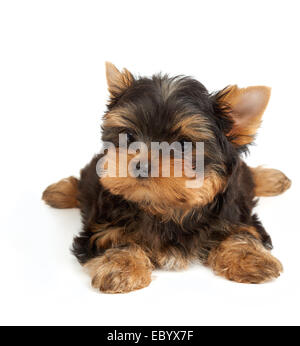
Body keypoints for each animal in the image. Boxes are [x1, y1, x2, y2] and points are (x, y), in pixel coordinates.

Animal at [42, 62, 290, 294]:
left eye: (183, 145)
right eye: (128, 136)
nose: (140, 165)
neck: (165, 209)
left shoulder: (236, 215)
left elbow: (243, 233)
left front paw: (251, 258)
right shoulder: (100, 228)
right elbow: (116, 240)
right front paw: (122, 267)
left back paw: (272, 178)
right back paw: (59, 191)